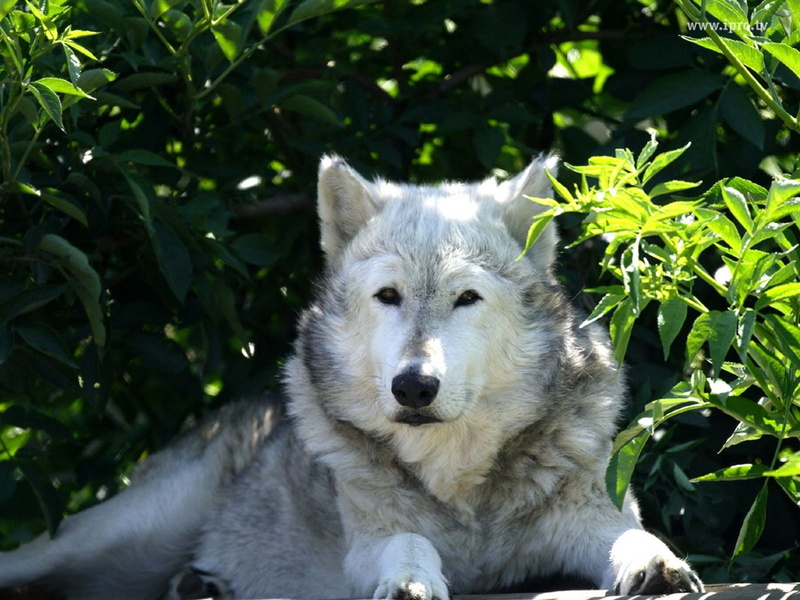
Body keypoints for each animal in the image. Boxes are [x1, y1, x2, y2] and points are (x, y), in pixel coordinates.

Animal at [0, 155, 703, 600]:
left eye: (466, 299)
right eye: (388, 296)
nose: (413, 387)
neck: (460, 488)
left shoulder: (590, 514)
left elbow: (636, 535)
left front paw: (660, 564)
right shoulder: (370, 539)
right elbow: (408, 546)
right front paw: (412, 582)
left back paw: (198, 587)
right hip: (115, 530)